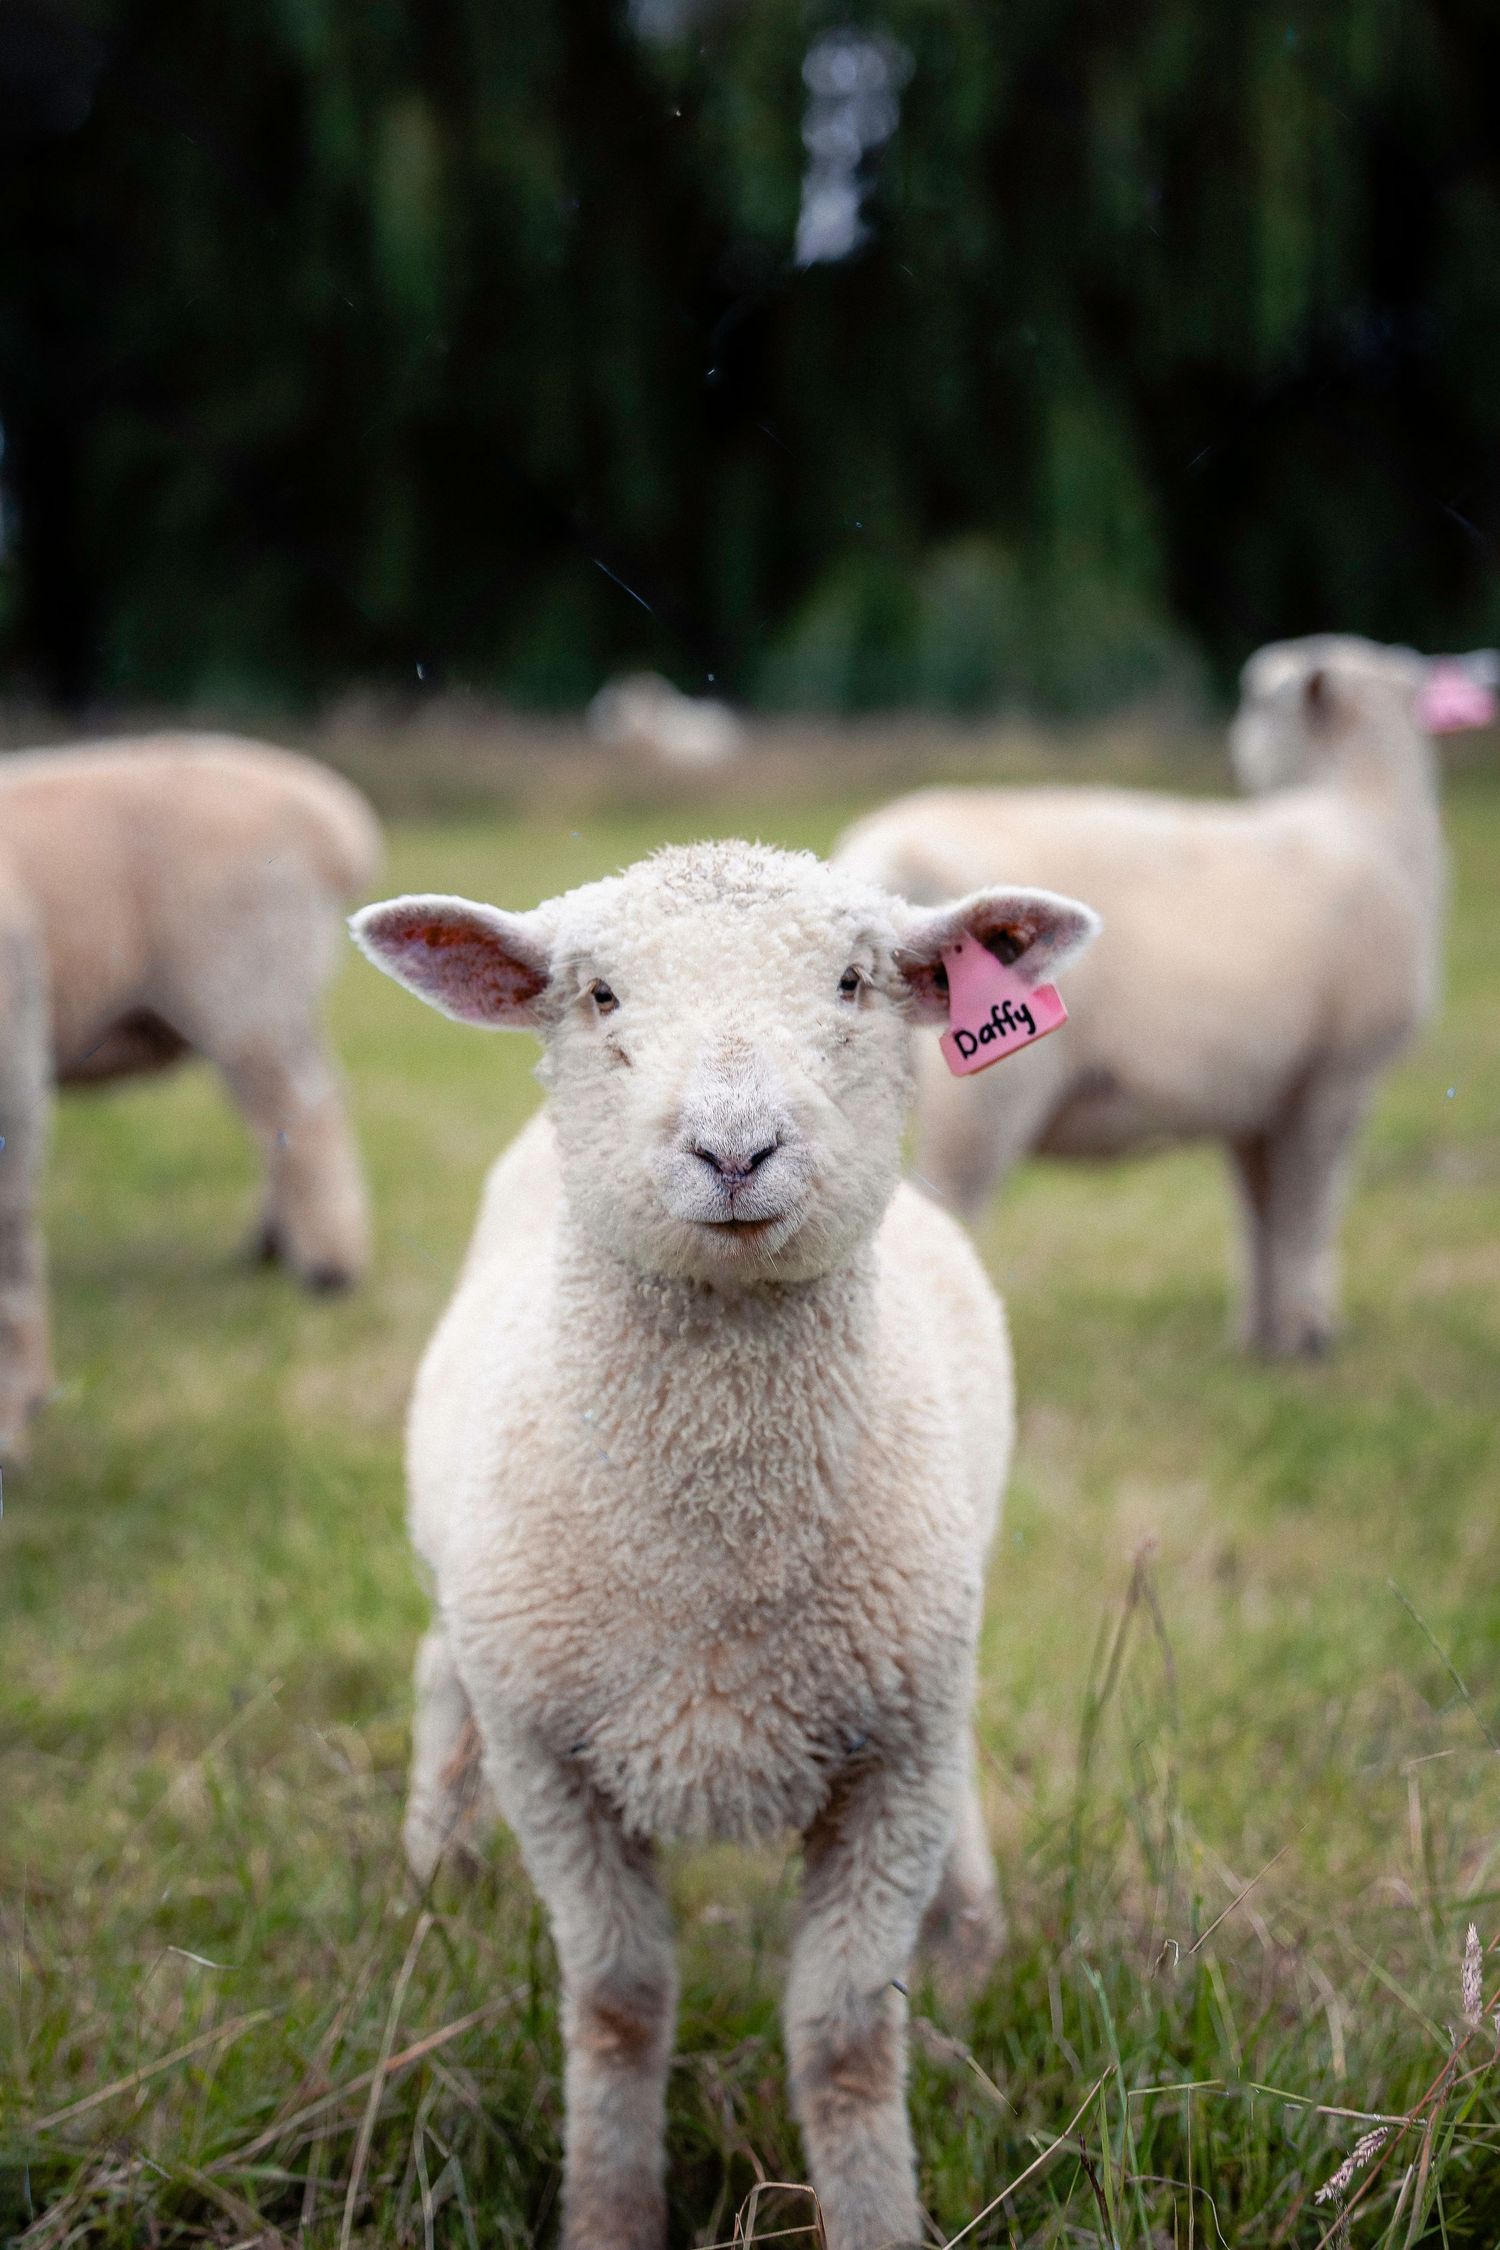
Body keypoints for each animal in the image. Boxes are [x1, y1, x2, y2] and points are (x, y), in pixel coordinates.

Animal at [0, 733, 381, 1456]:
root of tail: (333, 820)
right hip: (277, 991)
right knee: (300, 1108)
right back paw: (275, 1245)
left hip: (241, 980)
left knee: (302, 1109)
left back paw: (327, 1270)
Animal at [352, 840, 1100, 2250]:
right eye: (597, 994)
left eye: (856, 981)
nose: (735, 1148)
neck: (716, 1568)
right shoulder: (552, 1758)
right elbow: (618, 2005)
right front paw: (610, 2213)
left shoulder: (895, 1756)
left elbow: (847, 2036)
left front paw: (878, 2216)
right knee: (433, 1675)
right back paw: (428, 1881)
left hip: (934, 1639)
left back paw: (972, 1938)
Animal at [836, 634, 1495, 1358]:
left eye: (1262, 703)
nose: (1236, 754)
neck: (1367, 811)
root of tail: (885, 859)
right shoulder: (1333, 1078)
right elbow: (1308, 1209)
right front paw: (1305, 1336)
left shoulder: (1257, 1094)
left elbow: (1263, 1212)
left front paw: (1260, 1337)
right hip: (985, 1097)